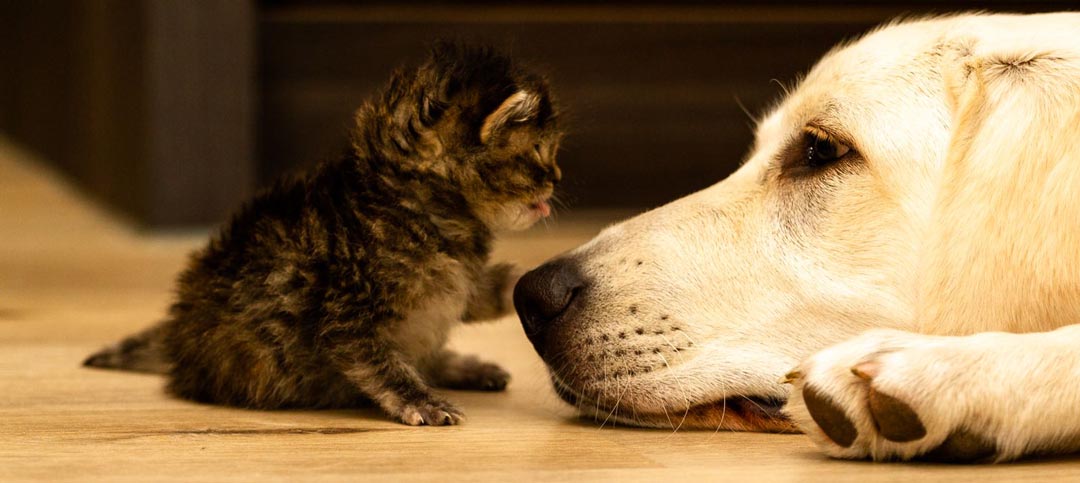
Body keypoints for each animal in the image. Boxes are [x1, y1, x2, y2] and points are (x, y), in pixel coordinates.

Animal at [84, 42, 561, 427]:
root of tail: (178, 338)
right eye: (539, 154)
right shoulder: (347, 317)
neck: (422, 214)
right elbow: (384, 366)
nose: (556, 178)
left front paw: (528, 280)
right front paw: (420, 401)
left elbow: (486, 292)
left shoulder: (459, 287)